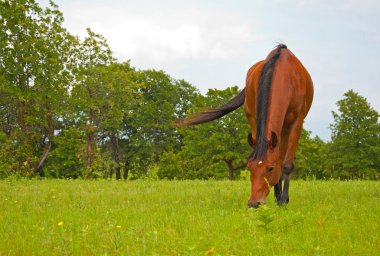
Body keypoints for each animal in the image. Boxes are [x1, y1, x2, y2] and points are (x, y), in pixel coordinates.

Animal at [177, 44, 314, 208]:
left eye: (270, 168)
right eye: (249, 167)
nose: (253, 203)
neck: (285, 77)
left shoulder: (297, 122)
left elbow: (286, 164)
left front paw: (283, 200)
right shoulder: (255, 119)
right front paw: (278, 197)